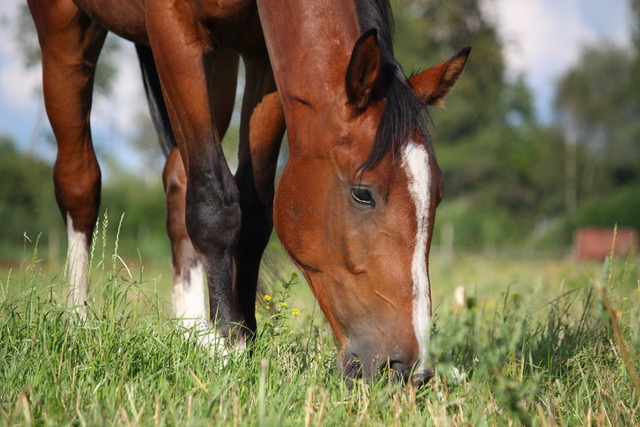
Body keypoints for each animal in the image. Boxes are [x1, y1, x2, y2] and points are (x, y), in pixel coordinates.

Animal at [28, 0, 470, 386]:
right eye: (363, 193)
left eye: (438, 194)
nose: (411, 370)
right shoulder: (171, 28)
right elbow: (215, 205)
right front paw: (229, 350)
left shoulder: (264, 59)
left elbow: (254, 210)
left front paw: (242, 337)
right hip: (67, 28)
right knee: (80, 180)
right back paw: (77, 321)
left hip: (218, 64)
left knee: (178, 179)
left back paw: (192, 332)